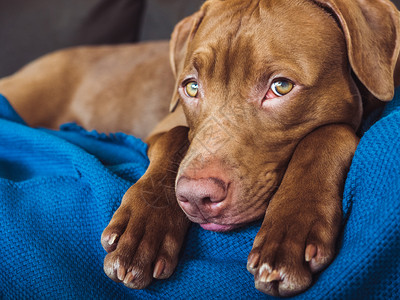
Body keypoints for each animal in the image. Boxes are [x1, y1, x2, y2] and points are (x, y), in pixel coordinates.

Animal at [0, 0, 398, 296]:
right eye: (191, 87)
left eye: (281, 86)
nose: (196, 197)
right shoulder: (164, 128)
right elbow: (178, 136)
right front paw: (142, 229)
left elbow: (328, 133)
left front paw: (291, 231)